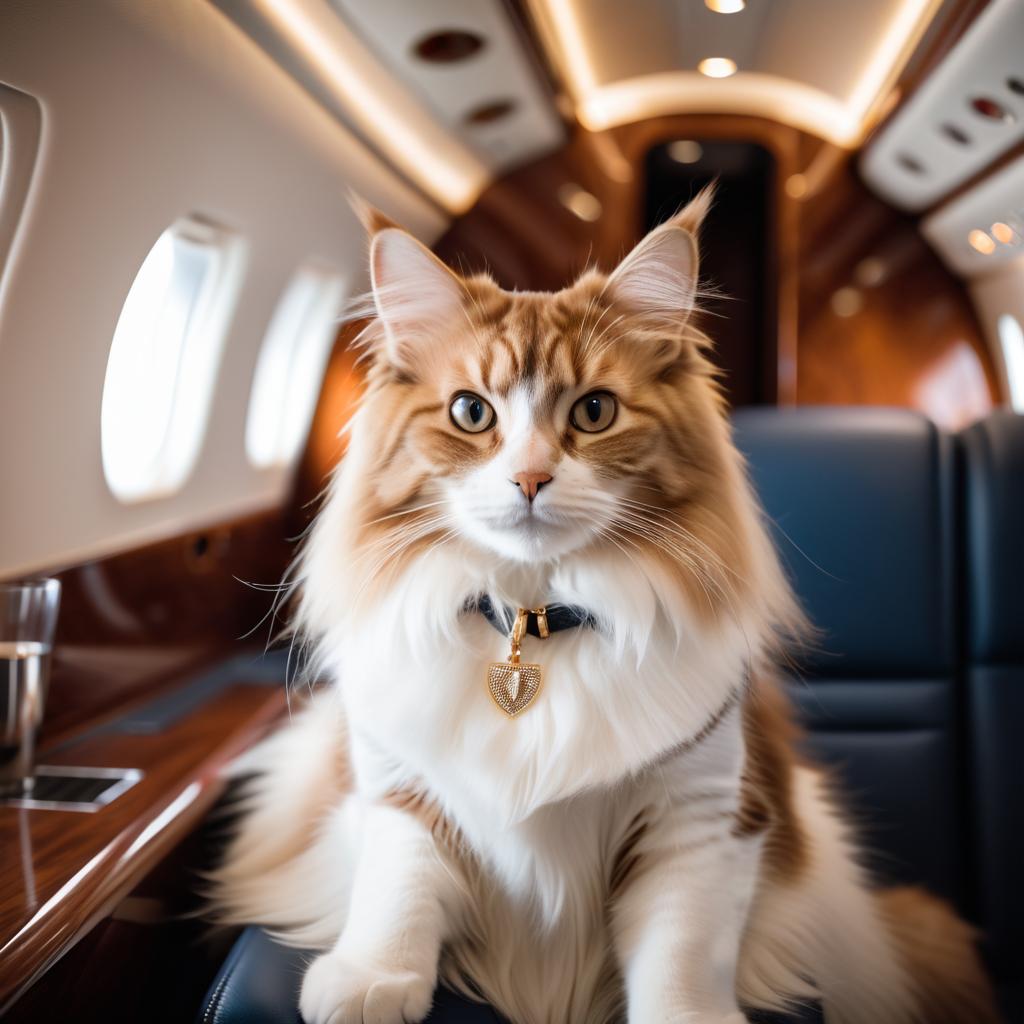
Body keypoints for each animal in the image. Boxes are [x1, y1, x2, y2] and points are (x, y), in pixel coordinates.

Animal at [209, 192, 999, 1024]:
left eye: (594, 412)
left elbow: (682, 952)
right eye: (470, 413)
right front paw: (372, 978)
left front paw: (689, 1017)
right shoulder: (399, 786)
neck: (534, 624)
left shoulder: (702, 817)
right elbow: (400, 886)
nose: (529, 478)